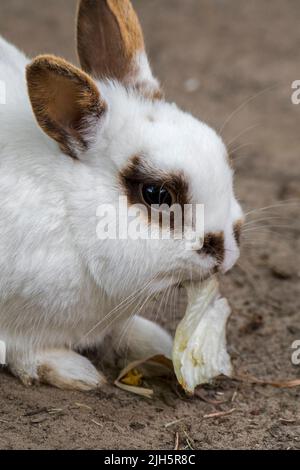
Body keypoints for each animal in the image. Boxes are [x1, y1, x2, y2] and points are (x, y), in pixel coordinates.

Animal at [0, 0, 244, 390]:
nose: (228, 253)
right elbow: (23, 350)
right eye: (156, 193)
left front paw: (153, 340)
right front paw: (74, 372)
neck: (70, 214)